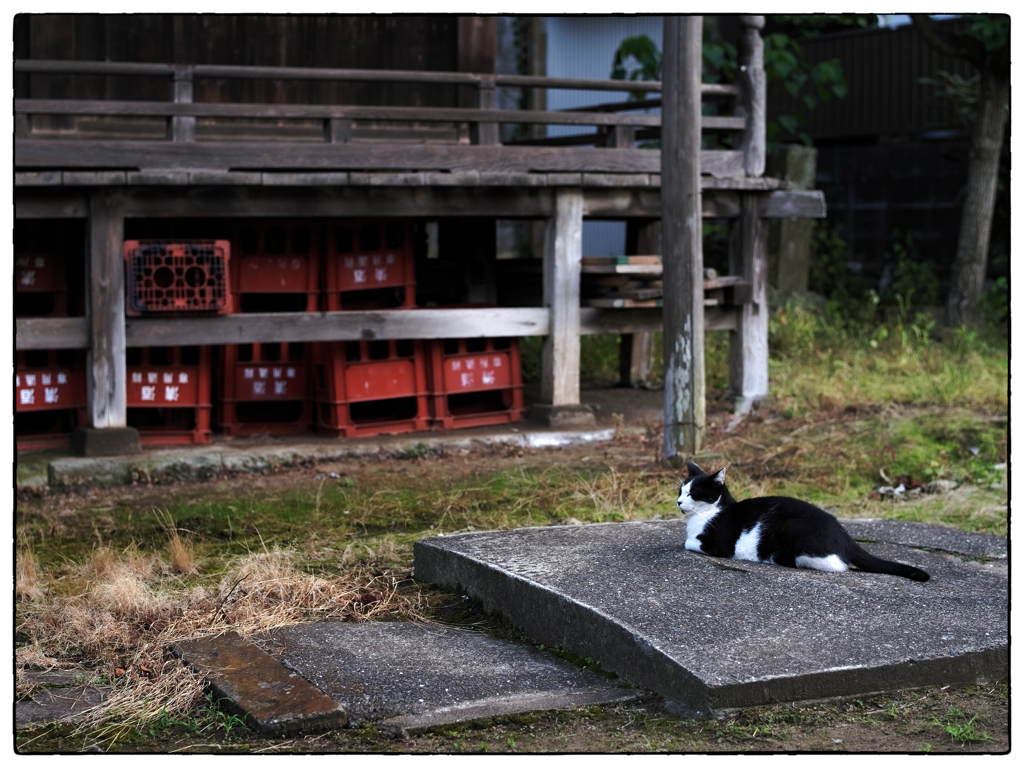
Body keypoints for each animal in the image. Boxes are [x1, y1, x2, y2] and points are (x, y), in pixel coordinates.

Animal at [679, 460, 929, 581]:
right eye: (680, 491)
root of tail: (844, 534)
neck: (712, 512)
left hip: (793, 530)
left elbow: (688, 542)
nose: (679, 502)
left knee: (837, 564)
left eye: (694, 494)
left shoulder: (719, 544)